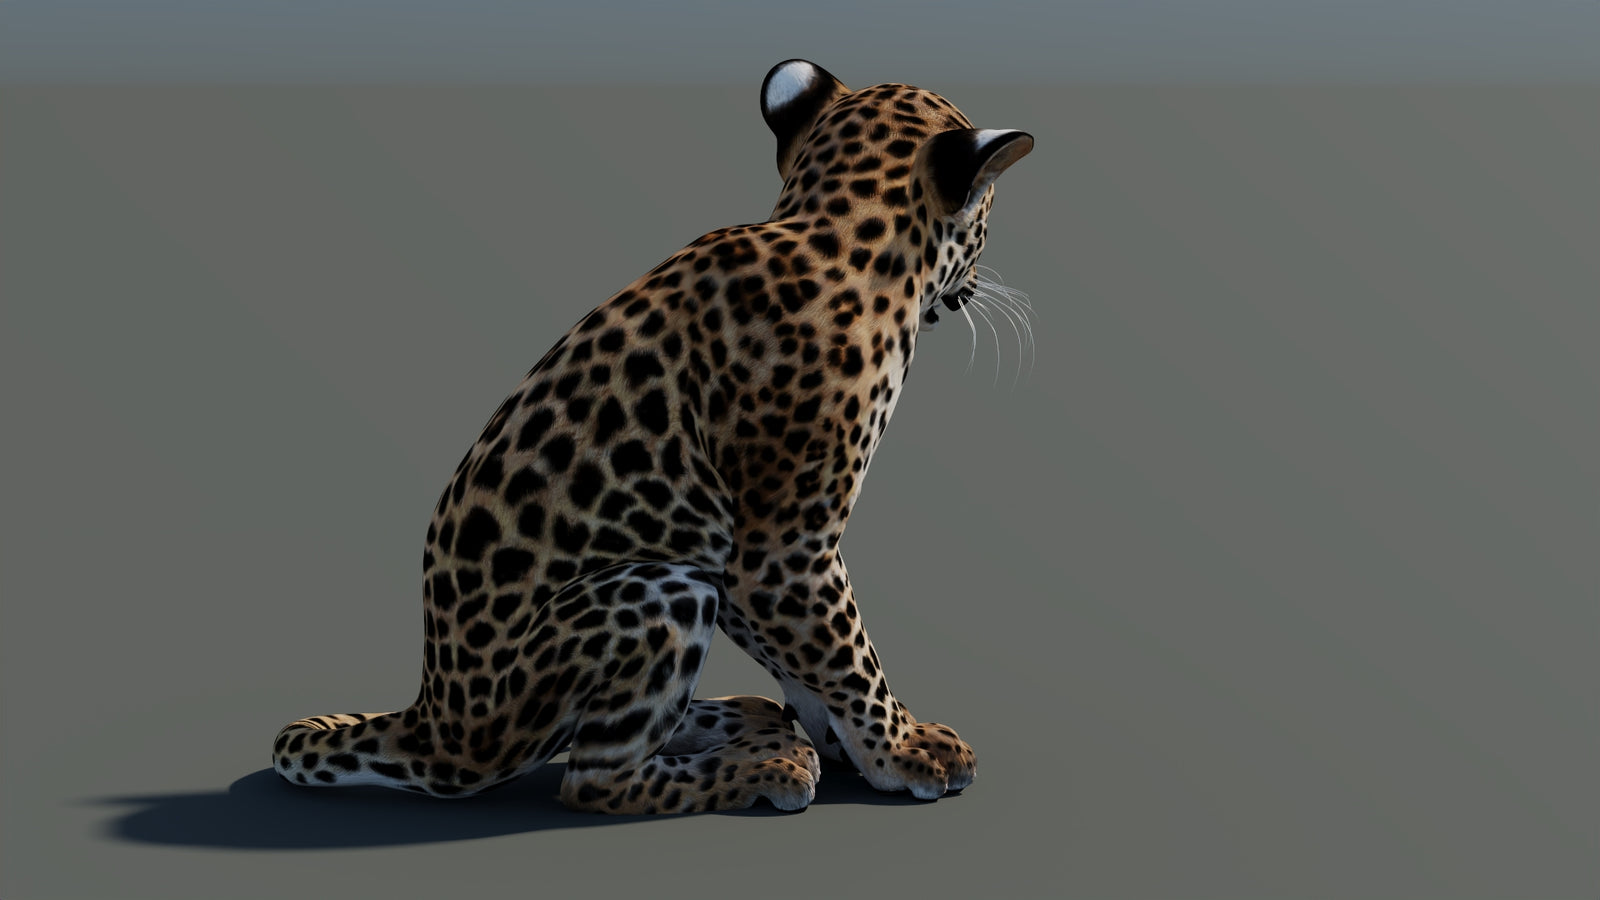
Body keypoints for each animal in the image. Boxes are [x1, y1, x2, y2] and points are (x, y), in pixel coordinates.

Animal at [272, 59, 1032, 814]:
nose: (973, 284)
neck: (843, 233)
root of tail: (433, 719)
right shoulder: (782, 551)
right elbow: (848, 654)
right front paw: (905, 751)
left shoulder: (737, 554)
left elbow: (805, 663)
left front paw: (849, 744)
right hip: (662, 587)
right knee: (593, 777)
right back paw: (764, 767)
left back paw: (750, 720)